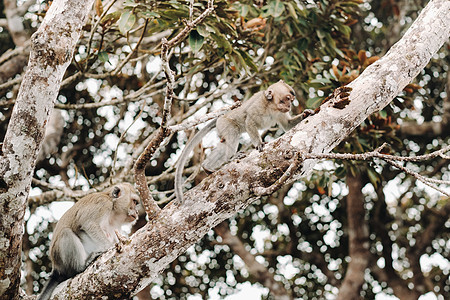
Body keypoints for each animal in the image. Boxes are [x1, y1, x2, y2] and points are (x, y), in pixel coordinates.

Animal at [174, 79, 314, 204]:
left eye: (291, 100)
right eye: (286, 99)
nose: (289, 106)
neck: (271, 107)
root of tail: (221, 117)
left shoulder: (280, 113)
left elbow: (287, 125)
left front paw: (306, 113)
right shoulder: (258, 106)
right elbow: (249, 121)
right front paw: (259, 144)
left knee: (224, 144)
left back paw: (207, 166)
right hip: (226, 123)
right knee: (233, 133)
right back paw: (231, 156)